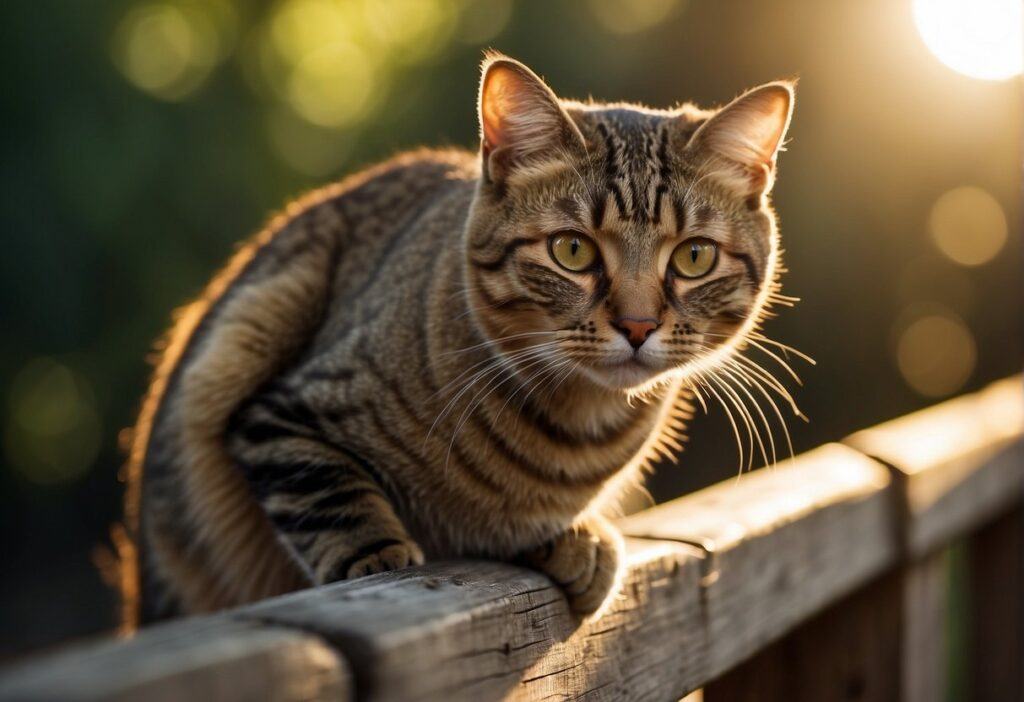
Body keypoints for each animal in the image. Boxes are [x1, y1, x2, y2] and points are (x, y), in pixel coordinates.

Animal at [119, 53, 790, 626]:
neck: (573, 429)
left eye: (694, 257)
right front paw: (378, 556)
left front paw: (578, 538)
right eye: (572, 250)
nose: (638, 325)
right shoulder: (276, 411)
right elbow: (333, 495)